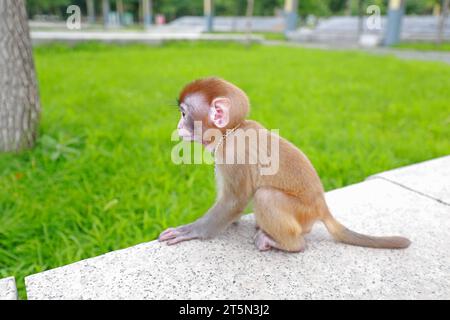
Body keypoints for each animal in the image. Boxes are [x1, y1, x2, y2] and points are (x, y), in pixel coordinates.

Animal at [159, 78, 412, 252]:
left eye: (184, 114)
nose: (178, 126)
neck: (231, 131)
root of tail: (321, 206)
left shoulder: (233, 154)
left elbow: (234, 201)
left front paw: (194, 230)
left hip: (302, 211)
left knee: (265, 196)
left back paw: (289, 243)